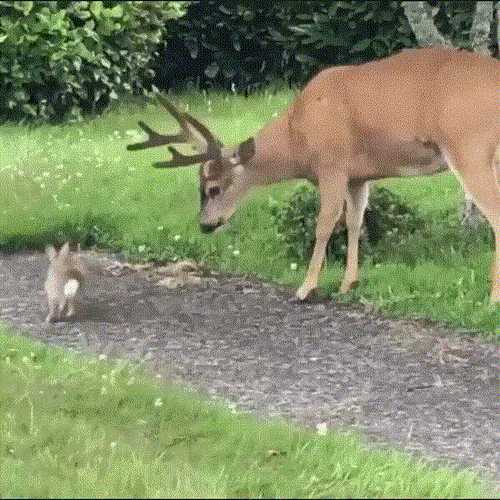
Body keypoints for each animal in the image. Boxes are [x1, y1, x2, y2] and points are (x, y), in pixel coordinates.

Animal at [127, 47, 498, 304]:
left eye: (214, 188)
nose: (204, 225)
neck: (297, 136)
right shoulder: (358, 175)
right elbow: (354, 221)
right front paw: (349, 283)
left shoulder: (331, 165)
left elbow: (325, 223)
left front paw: (306, 287)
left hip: (469, 147)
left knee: (494, 214)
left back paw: (492, 297)